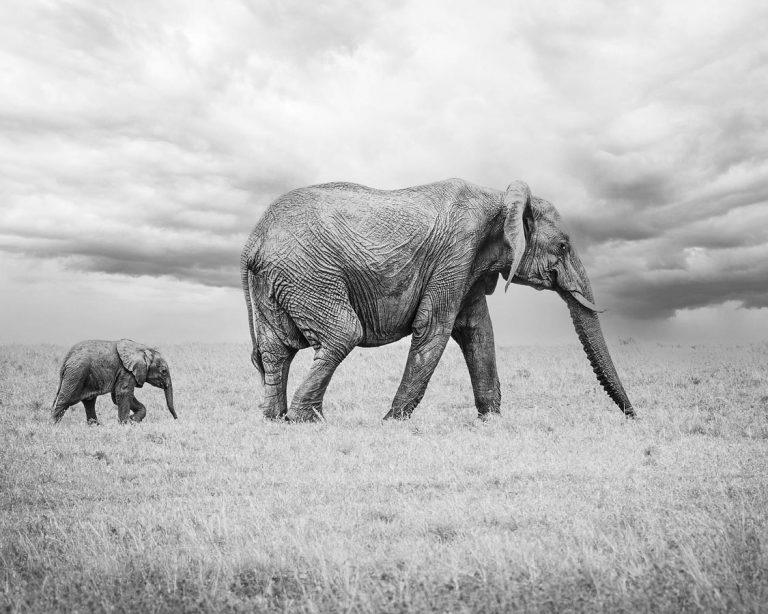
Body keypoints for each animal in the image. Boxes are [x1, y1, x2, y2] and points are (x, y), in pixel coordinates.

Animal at [240, 179, 634, 422]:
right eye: (563, 246)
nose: (633, 417)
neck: (500, 196)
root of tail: (253, 240)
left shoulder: (471, 266)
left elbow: (478, 331)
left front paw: (491, 421)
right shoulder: (456, 253)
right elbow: (435, 328)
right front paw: (391, 423)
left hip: (277, 281)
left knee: (276, 349)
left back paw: (275, 419)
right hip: (308, 274)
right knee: (342, 334)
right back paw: (306, 420)